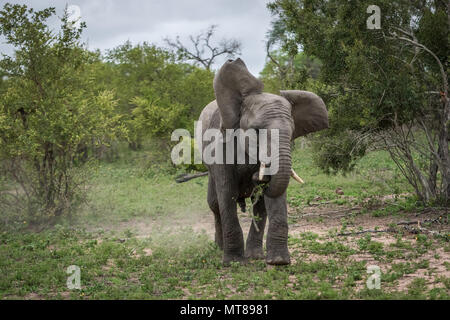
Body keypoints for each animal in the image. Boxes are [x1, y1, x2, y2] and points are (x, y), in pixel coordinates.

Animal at [197, 58, 326, 264]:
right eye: (257, 131)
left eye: (292, 132)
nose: (258, 175)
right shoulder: (221, 147)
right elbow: (227, 193)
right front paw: (234, 262)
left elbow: (272, 198)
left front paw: (278, 261)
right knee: (215, 203)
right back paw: (219, 249)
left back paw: (254, 255)